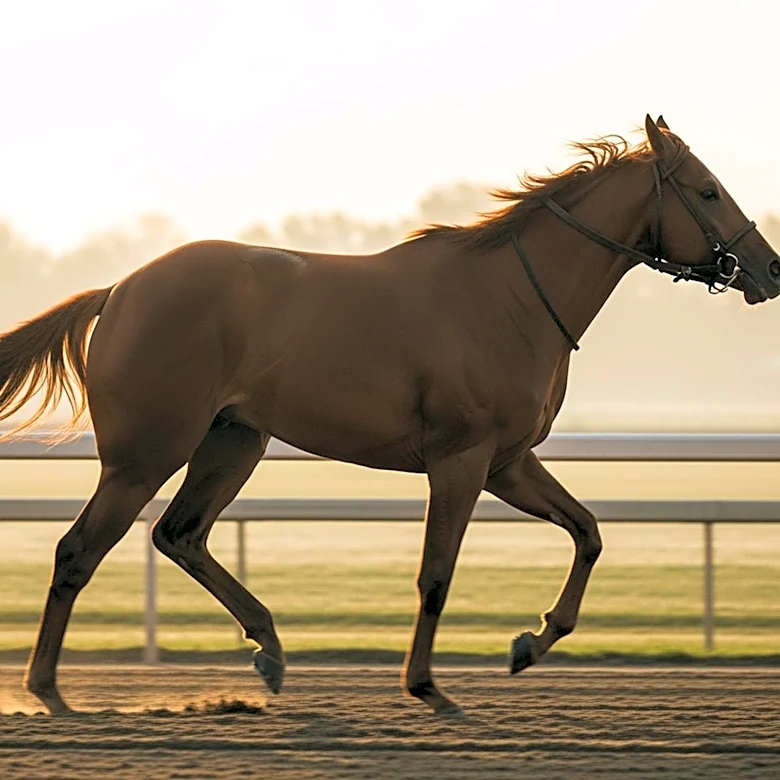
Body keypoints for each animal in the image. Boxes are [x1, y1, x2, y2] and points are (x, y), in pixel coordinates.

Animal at [1, 115, 778, 716]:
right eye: (708, 189)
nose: (768, 269)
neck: (510, 297)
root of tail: (118, 290)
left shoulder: (507, 462)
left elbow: (587, 532)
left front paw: (528, 644)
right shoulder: (461, 460)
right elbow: (437, 573)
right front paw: (427, 685)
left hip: (233, 443)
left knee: (180, 534)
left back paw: (270, 650)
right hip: (146, 454)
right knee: (79, 550)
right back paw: (48, 689)